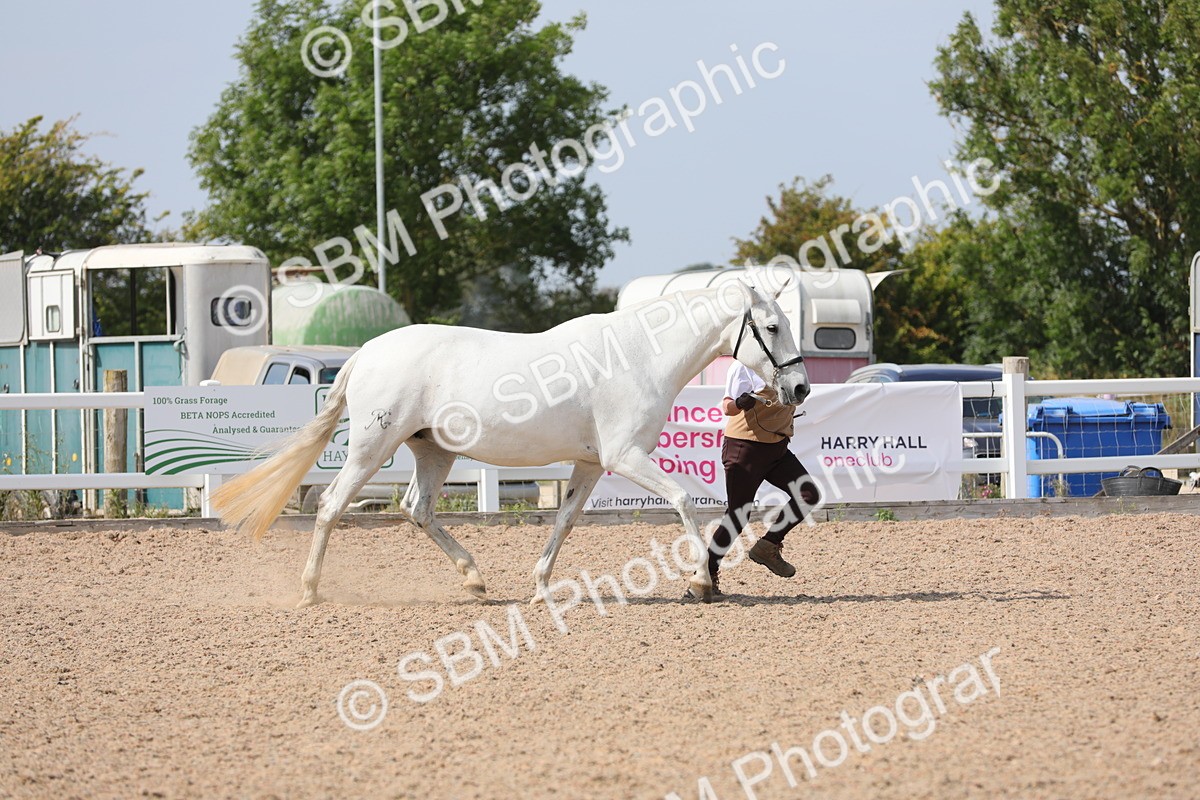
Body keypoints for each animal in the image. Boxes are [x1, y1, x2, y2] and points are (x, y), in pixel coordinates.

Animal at [212, 279, 810, 606]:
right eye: (772, 327)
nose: (802, 387)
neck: (637, 356)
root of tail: (367, 352)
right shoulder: (625, 457)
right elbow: (686, 500)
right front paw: (700, 582)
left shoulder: (590, 464)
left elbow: (564, 521)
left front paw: (541, 585)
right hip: (371, 447)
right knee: (333, 505)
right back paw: (311, 590)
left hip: (434, 451)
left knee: (418, 510)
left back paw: (474, 580)